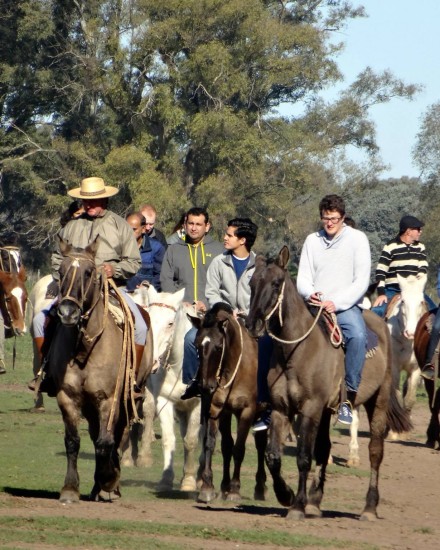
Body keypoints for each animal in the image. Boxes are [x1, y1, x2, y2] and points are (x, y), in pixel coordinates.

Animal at [46, 238, 153, 504]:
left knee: (118, 437)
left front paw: (109, 480)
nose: (67, 312)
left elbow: (107, 442)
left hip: (128, 399)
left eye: (88, 272)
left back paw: (109, 485)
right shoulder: (68, 397)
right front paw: (70, 489)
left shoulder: (109, 399)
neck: (86, 348)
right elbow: (73, 441)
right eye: (61, 271)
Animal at [127, 284, 201, 492]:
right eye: (149, 320)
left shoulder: (198, 404)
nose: (151, 361)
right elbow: (170, 439)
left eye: (170, 323)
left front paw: (189, 481)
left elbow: (191, 440)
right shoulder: (164, 401)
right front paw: (167, 478)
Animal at [193, 304, 268, 506]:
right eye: (196, 344)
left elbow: (239, 449)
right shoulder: (216, 410)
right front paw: (209, 487)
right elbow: (215, 444)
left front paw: (234, 489)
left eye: (219, 347)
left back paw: (260, 487)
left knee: (260, 444)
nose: (205, 386)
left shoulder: (247, 412)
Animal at [246, 248, 410, 524]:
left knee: (375, 452)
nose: (253, 324)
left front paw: (297, 506)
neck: (297, 350)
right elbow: (273, 456)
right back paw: (315, 501)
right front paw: (286, 495)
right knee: (324, 449)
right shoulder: (282, 409)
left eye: (276, 283)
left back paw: (369, 508)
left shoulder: (310, 409)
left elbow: (303, 457)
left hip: (377, 401)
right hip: (326, 412)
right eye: (251, 283)